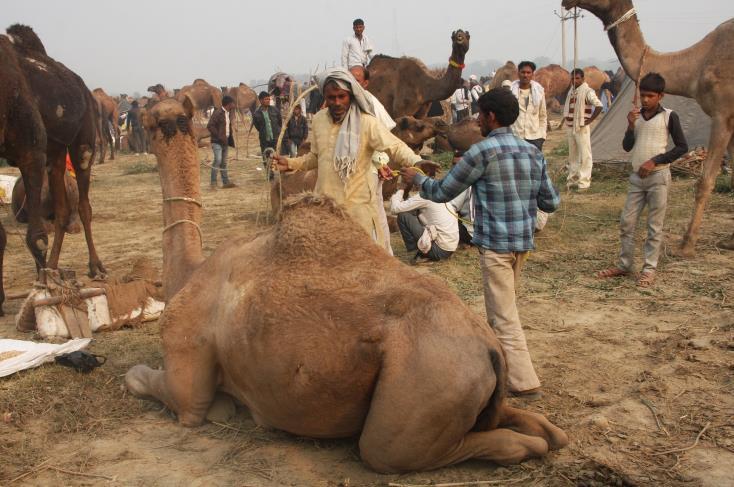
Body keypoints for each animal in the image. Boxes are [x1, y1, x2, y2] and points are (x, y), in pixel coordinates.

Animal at [125, 97, 568, 474]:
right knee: (544, 431)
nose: (146, 126)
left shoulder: (187, 372)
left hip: (424, 391)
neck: (191, 274)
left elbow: (150, 382)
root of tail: (490, 351)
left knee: (394, 450)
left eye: (148, 121)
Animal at [568, 0, 732, 258]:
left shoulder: (721, 113)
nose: (565, 2)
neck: (697, 66)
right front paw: (731, 242)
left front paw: (686, 246)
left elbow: (705, 182)